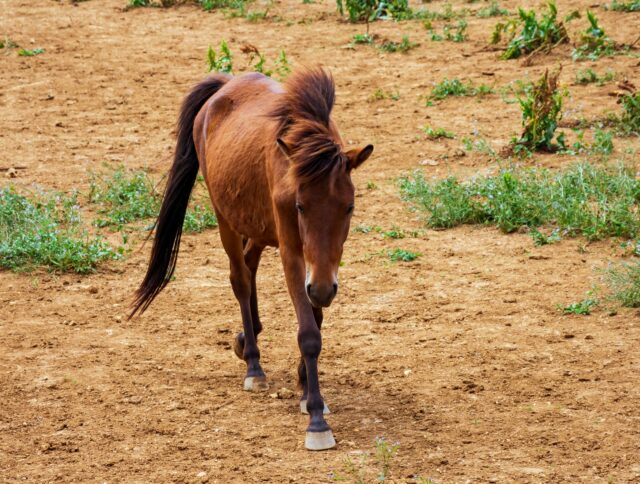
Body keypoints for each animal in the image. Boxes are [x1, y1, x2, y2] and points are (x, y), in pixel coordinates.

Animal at [131, 67, 376, 450]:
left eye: (348, 207)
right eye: (300, 206)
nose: (322, 288)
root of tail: (225, 85)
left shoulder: (325, 266)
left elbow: (316, 315)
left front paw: (305, 387)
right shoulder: (294, 254)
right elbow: (309, 332)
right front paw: (316, 419)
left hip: (256, 228)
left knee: (250, 264)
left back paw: (248, 338)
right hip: (225, 218)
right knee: (241, 279)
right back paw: (253, 365)